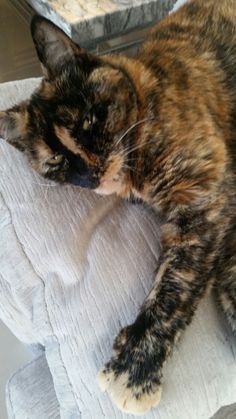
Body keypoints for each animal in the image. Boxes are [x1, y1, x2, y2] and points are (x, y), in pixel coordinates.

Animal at [0, 0, 236, 414]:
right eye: (55, 162)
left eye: (88, 122)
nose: (90, 175)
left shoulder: (204, 201)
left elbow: (174, 287)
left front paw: (134, 370)